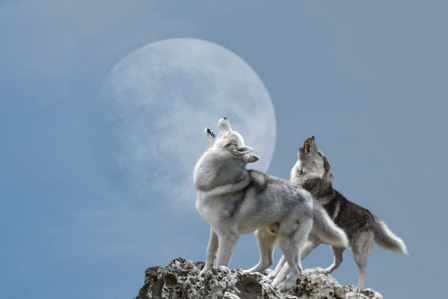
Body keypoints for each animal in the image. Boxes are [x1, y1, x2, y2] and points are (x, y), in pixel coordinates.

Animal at [194, 118, 348, 292]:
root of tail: (309, 198)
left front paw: (219, 278)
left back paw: (284, 285)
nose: (225, 117)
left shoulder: (229, 236)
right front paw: (203, 275)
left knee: (296, 268)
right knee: (268, 262)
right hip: (263, 235)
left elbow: (221, 263)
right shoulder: (215, 230)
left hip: (285, 243)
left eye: (229, 132)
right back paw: (246, 273)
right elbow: (209, 253)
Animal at [270, 136, 410, 292]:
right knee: (339, 261)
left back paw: (359, 288)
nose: (312, 136)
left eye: (319, 154)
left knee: (363, 268)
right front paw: (272, 276)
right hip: (336, 246)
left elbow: (288, 265)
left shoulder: (310, 242)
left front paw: (279, 283)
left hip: (358, 252)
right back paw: (323, 271)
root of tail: (371, 215)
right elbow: (282, 261)